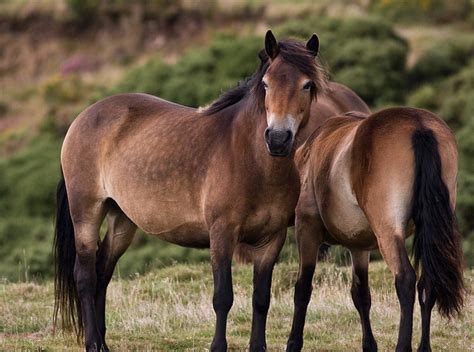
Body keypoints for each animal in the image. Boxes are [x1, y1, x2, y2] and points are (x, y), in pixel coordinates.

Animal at [53, 30, 328, 352]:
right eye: (266, 83)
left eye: (307, 85)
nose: (278, 138)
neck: (252, 160)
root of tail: (83, 117)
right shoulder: (222, 234)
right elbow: (223, 298)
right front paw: (217, 346)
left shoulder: (270, 240)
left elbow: (261, 299)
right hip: (86, 211)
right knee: (85, 275)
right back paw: (93, 343)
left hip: (121, 219)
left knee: (102, 271)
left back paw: (103, 341)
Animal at [286, 108, 464, 350]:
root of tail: (419, 125)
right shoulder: (359, 246)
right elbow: (361, 295)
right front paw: (369, 344)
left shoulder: (307, 228)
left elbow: (303, 288)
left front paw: (293, 342)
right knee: (427, 284)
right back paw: (423, 347)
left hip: (387, 233)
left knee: (405, 279)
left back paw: (403, 346)